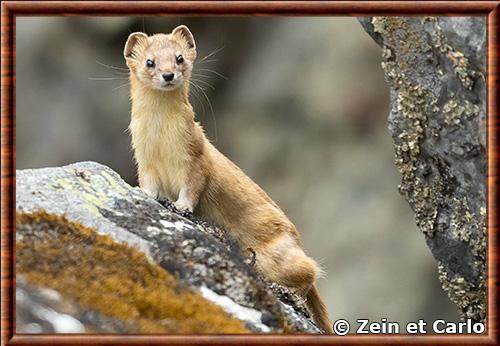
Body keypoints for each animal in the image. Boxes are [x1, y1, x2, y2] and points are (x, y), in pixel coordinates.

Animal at [122, 24, 332, 332]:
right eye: (150, 62)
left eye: (179, 58)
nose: (168, 74)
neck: (161, 139)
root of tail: (296, 238)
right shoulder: (143, 158)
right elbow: (148, 183)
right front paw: (146, 195)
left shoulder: (196, 157)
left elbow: (193, 186)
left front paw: (181, 207)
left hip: (278, 254)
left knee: (310, 271)